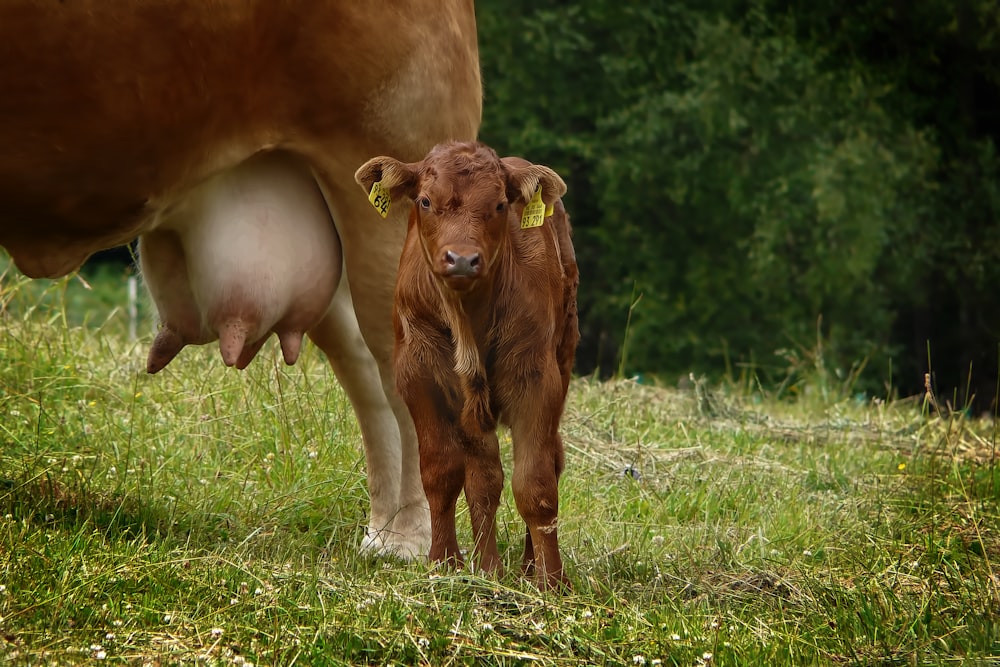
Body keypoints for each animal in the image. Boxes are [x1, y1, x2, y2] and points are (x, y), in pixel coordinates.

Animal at [358, 142, 580, 588]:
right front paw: (445, 562)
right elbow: (443, 472)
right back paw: (488, 565)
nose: (461, 260)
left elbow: (536, 482)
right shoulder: (418, 377)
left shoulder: (536, 378)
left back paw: (527, 566)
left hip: (562, 357)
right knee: (484, 474)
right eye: (426, 201)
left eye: (499, 205)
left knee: (550, 458)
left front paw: (551, 582)